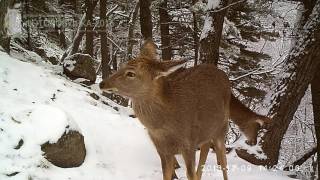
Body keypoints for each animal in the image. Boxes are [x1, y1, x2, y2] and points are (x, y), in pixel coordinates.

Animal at [99, 40, 230, 179]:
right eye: (122, 65)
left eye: (131, 73)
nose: (102, 83)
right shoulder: (162, 150)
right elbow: (167, 174)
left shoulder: (189, 144)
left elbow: (190, 174)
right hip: (207, 132)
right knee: (205, 149)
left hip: (222, 128)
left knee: (223, 161)